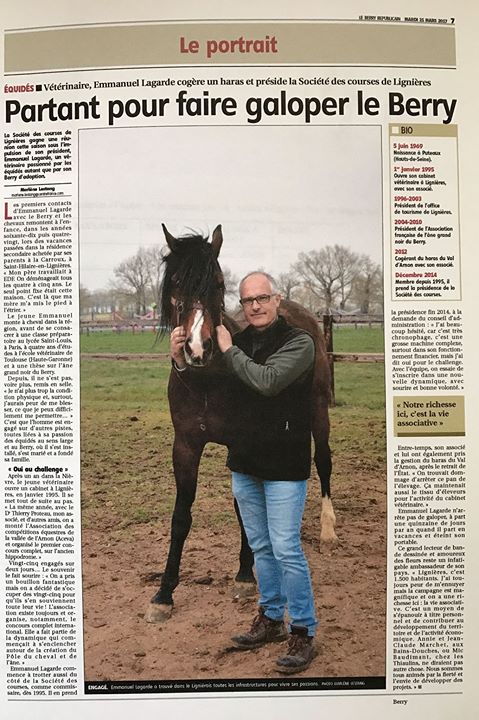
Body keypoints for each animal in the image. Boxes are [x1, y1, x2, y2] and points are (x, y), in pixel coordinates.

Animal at [147, 226, 338, 624]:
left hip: (318, 410)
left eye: (219, 284)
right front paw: (163, 595)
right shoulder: (184, 447)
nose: (196, 348)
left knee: (324, 462)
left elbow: (243, 512)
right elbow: (181, 517)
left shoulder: (241, 444)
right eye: (176, 283)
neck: (208, 379)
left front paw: (246, 577)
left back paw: (328, 530)